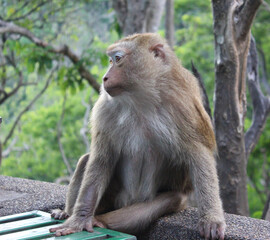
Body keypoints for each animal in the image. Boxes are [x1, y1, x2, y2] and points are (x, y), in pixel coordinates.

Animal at [50, 33, 226, 240]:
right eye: (111, 60)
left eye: (118, 58)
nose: (104, 77)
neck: (141, 98)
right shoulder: (105, 107)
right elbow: (101, 159)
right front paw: (80, 218)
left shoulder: (182, 103)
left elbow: (200, 155)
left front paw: (212, 219)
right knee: (87, 161)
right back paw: (69, 213)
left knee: (174, 198)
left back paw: (102, 221)